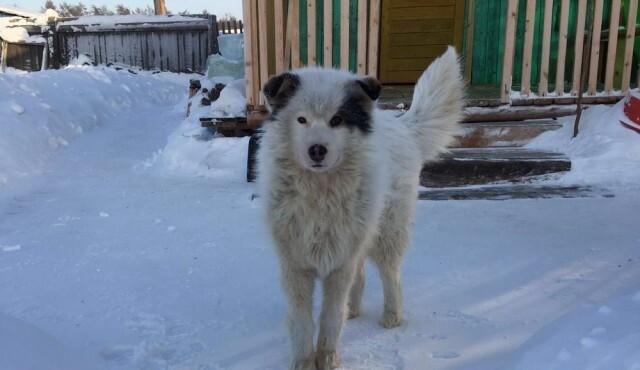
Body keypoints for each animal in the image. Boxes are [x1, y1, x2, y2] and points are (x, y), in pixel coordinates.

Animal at [258, 47, 462, 368]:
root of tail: (401, 123)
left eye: (337, 120)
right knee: (362, 272)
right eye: (301, 120)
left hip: (387, 232)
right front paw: (304, 361)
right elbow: (302, 321)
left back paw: (391, 316)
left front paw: (328, 358)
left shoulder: (339, 263)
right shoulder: (296, 264)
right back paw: (353, 308)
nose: (317, 150)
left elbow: (330, 317)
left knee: (391, 276)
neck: (320, 192)